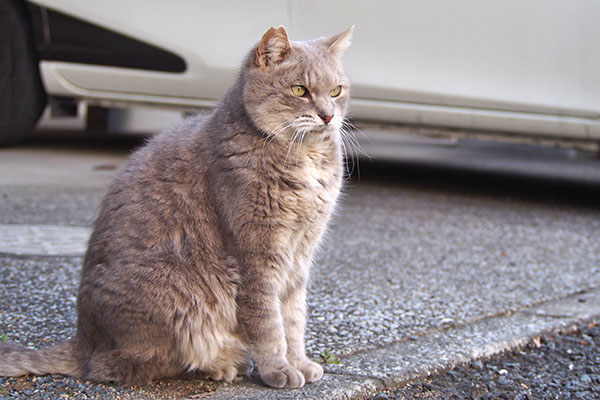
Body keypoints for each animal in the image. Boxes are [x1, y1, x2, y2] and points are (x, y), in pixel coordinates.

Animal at [0, 24, 354, 388]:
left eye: (336, 91)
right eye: (300, 90)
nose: (328, 116)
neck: (306, 158)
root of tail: (85, 339)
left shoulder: (299, 257)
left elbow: (294, 318)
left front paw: (299, 362)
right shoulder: (257, 255)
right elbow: (268, 323)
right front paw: (279, 369)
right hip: (180, 294)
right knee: (121, 365)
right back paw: (222, 364)